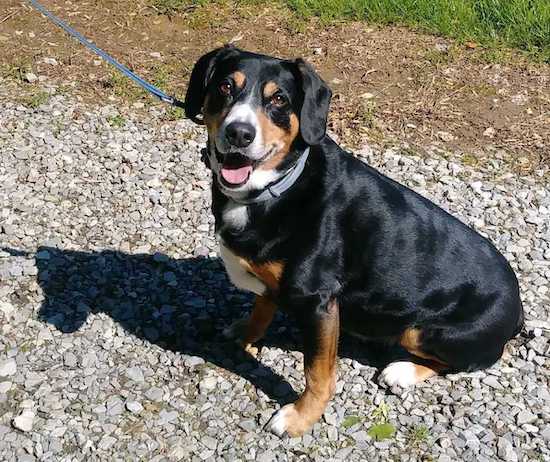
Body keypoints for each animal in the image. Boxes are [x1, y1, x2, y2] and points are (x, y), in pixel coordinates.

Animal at [184, 46, 528, 436]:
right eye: (225, 86)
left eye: (279, 99)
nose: (239, 133)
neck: (274, 189)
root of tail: (516, 308)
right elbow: (261, 311)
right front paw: (245, 334)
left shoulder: (320, 302)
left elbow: (317, 372)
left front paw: (300, 417)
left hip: (421, 331)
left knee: (463, 362)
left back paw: (402, 371)